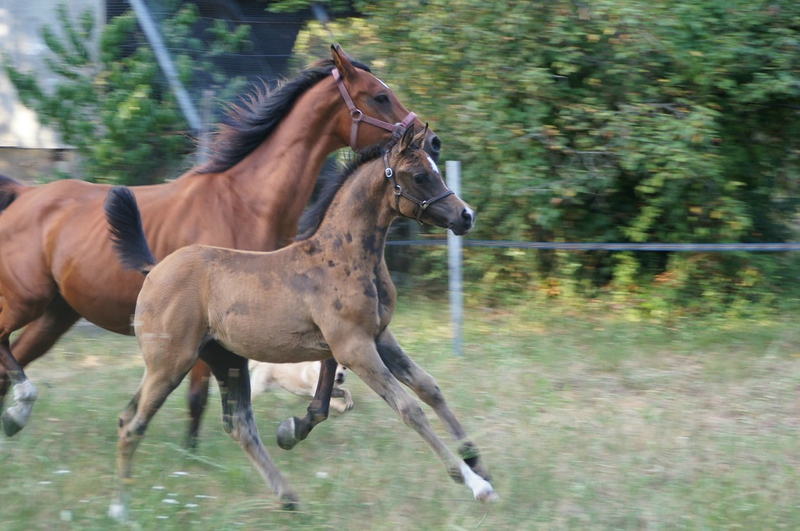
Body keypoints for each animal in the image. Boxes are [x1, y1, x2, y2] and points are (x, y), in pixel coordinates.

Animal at [0, 45, 440, 444]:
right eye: (379, 95)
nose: (432, 141)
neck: (244, 202)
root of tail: (22, 195)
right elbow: (198, 398)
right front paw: (190, 457)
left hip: (56, 315)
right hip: (27, 302)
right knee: (6, 350)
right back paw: (22, 405)